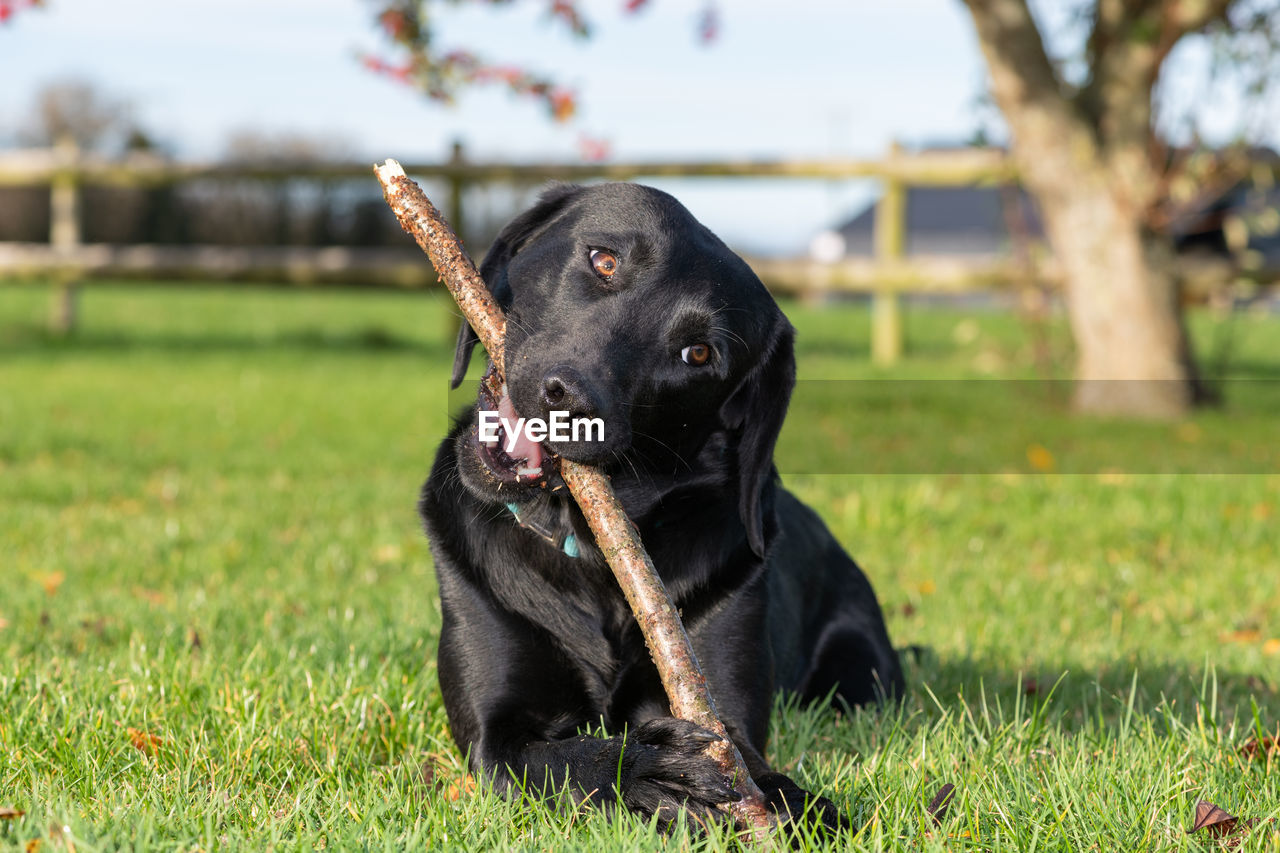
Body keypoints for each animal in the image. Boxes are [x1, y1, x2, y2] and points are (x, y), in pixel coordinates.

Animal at [419, 183, 901, 824]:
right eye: (603, 260)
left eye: (698, 354)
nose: (570, 398)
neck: (591, 553)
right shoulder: (496, 730)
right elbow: (561, 758)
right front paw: (646, 770)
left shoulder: (718, 707)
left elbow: (757, 771)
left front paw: (808, 814)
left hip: (862, 670)